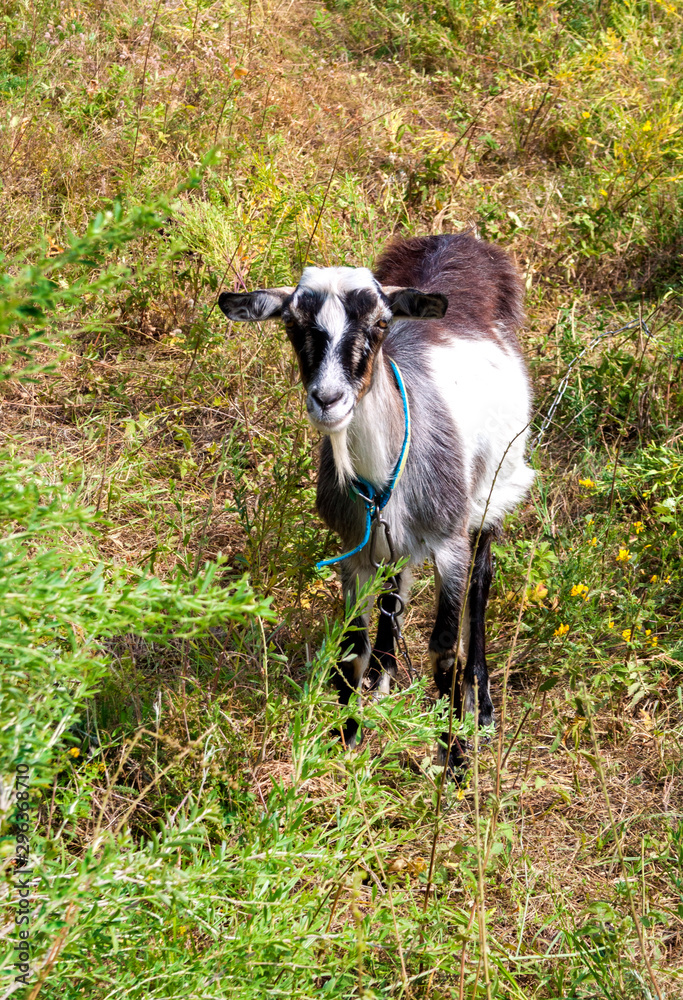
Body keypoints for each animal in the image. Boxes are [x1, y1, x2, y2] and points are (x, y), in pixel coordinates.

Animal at [218, 233, 534, 771]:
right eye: (292, 326)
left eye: (381, 324)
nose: (328, 399)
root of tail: (454, 239)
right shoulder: (355, 549)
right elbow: (353, 645)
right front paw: (346, 738)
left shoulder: (448, 543)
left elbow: (443, 648)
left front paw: (453, 756)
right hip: (392, 541)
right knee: (395, 589)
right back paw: (383, 677)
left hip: (497, 483)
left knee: (481, 580)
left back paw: (483, 704)